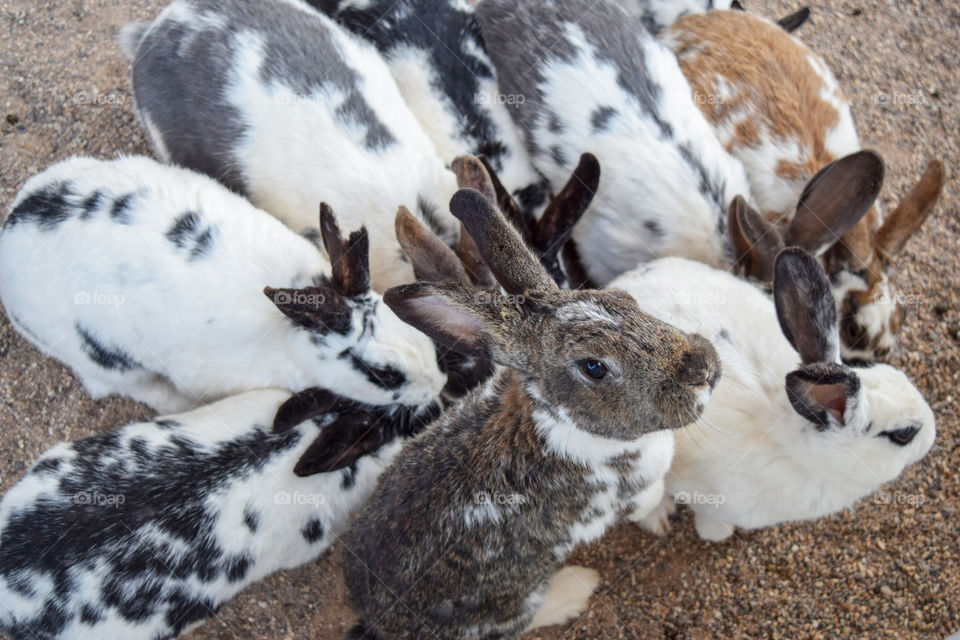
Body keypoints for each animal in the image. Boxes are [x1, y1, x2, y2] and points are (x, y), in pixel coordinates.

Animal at [341, 186, 721, 639]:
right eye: (594, 367)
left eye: (624, 300)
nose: (704, 369)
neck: (561, 420)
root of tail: (376, 620)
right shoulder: (618, 500)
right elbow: (648, 500)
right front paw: (659, 517)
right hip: (516, 599)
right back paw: (576, 591)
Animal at [607, 239, 935, 542]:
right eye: (904, 434)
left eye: (897, 373)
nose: (933, 436)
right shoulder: (708, 499)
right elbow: (710, 525)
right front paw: (719, 534)